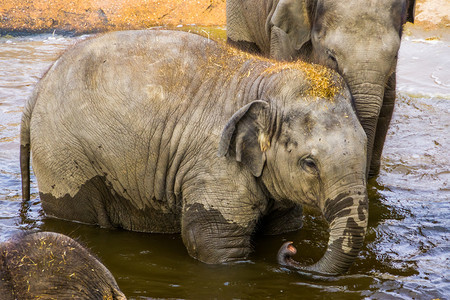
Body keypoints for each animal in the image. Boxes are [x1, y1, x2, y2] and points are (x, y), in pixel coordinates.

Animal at [20, 30, 370, 276]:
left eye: (367, 149)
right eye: (309, 163)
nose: (292, 252)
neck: (266, 79)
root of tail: (38, 85)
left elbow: (283, 226)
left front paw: (282, 239)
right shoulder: (215, 165)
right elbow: (212, 244)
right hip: (65, 158)